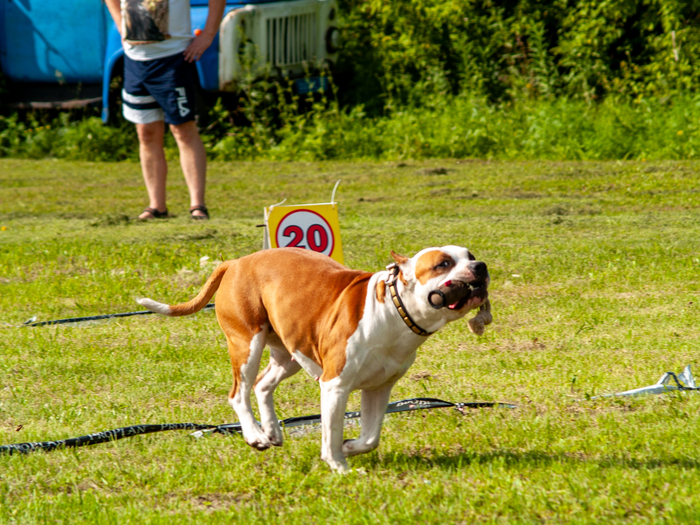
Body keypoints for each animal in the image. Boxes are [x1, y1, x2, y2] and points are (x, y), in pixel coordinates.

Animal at [137, 246, 491, 472]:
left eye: (470, 257)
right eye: (443, 263)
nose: (480, 267)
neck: (395, 308)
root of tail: (236, 262)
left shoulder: (379, 388)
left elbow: (370, 437)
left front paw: (350, 447)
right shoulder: (334, 385)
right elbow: (331, 432)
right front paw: (339, 465)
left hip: (290, 351)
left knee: (263, 385)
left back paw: (272, 431)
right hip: (246, 343)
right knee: (239, 393)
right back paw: (254, 435)